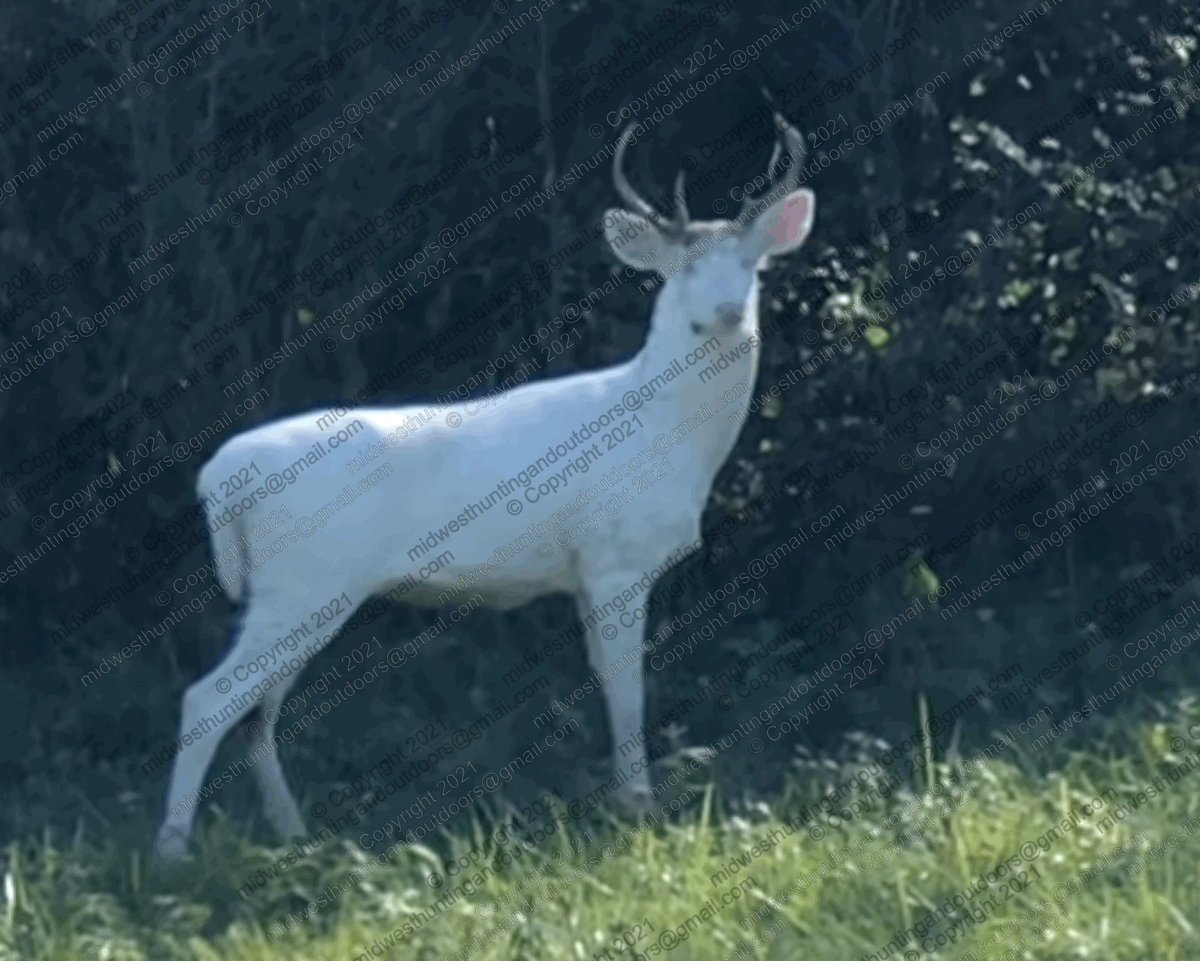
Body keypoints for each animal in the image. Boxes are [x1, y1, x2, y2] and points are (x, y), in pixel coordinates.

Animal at [153, 111, 815, 860]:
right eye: (684, 267)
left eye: (751, 264)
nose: (729, 312)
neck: (667, 433)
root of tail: (219, 476)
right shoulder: (615, 558)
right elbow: (627, 687)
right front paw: (640, 806)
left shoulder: (582, 573)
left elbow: (603, 676)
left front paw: (626, 799)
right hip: (303, 581)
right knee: (208, 699)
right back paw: (173, 852)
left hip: (296, 590)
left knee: (257, 713)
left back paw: (293, 834)